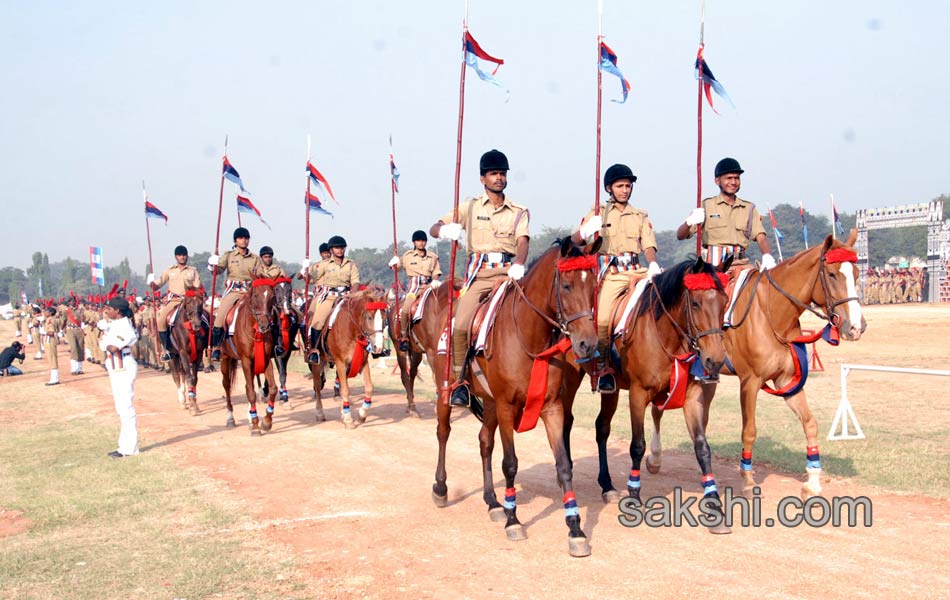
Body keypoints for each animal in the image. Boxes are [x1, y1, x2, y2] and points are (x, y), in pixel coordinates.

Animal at [221, 278, 280, 434]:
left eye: (273, 297)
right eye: (255, 296)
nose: (265, 325)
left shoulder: (266, 359)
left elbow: (272, 388)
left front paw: (266, 421)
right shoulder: (245, 360)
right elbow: (250, 391)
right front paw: (255, 426)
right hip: (225, 356)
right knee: (227, 384)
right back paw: (230, 418)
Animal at [310, 288, 388, 424]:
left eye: (384, 318)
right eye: (369, 317)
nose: (377, 347)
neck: (351, 330)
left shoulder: (362, 362)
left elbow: (368, 387)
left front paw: (361, 414)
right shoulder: (340, 362)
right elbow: (345, 390)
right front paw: (348, 419)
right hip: (317, 362)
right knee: (318, 384)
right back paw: (319, 413)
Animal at [428, 239, 600, 556]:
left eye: (593, 285)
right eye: (566, 285)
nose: (587, 343)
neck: (530, 335)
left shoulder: (552, 407)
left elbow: (564, 465)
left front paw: (575, 529)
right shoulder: (507, 406)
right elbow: (510, 464)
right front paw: (513, 521)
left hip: (490, 402)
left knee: (485, 441)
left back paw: (492, 501)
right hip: (446, 390)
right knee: (443, 432)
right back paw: (441, 489)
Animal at [560, 258, 732, 528]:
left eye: (724, 302)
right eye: (695, 303)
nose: (714, 360)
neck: (663, 332)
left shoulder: (692, 395)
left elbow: (702, 447)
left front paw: (714, 503)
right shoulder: (638, 394)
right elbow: (637, 446)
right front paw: (634, 494)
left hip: (611, 390)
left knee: (602, 428)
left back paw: (607, 485)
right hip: (570, 379)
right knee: (566, 422)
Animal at [652, 232, 868, 500]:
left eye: (857, 274)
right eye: (831, 274)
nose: (856, 327)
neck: (772, 313)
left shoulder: (787, 381)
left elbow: (810, 423)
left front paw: (813, 481)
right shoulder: (750, 382)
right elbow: (749, 431)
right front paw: (747, 479)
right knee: (657, 410)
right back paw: (655, 459)